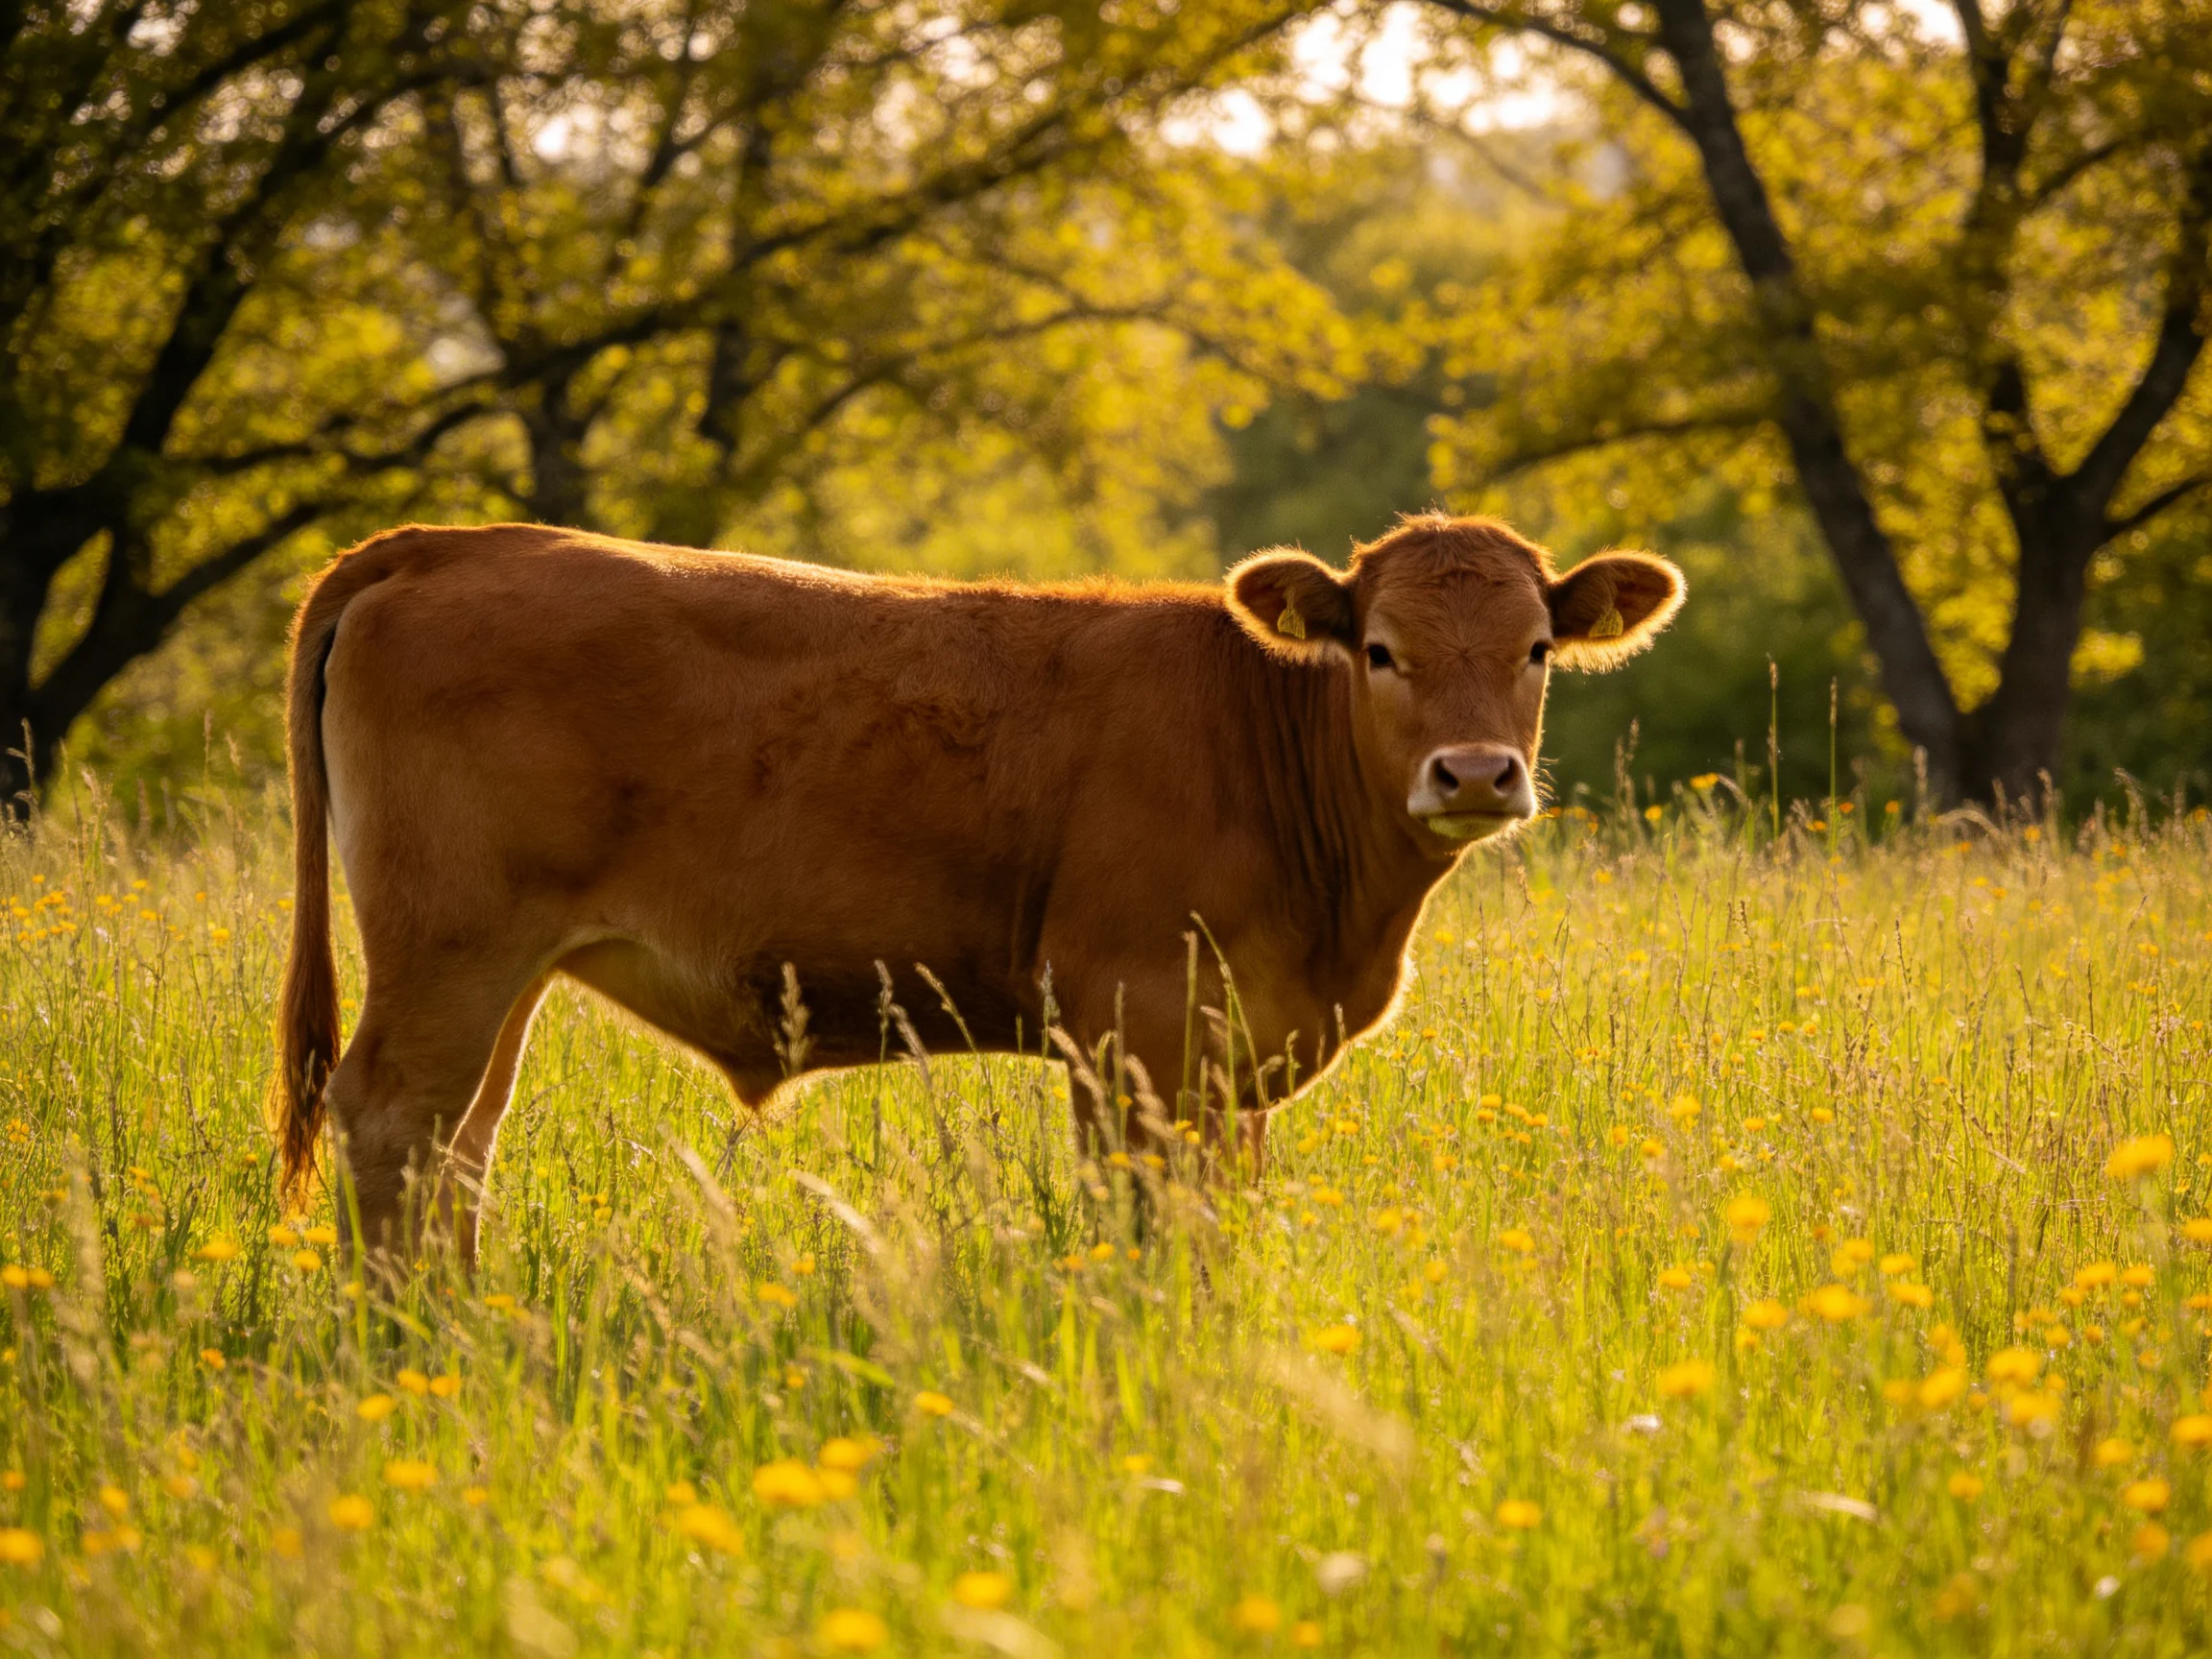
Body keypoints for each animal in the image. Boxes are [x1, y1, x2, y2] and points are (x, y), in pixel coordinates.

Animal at [272, 513, 1682, 1262]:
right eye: (1381, 650)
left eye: (1536, 648)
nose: (1477, 772)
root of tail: (455, 543)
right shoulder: (1134, 1022)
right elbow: (1143, 1213)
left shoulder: (1236, 1053)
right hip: (451, 944)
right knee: (392, 1117)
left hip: (505, 969)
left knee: (461, 1141)